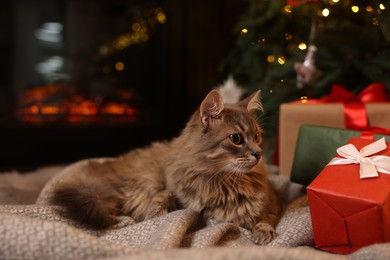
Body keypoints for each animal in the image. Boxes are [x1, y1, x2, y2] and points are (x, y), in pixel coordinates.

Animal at [47, 88, 282, 245]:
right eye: (236, 138)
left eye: (257, 136)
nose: (259, 154)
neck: (225, 181)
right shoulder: (183, 203)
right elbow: (162, 203)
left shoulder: (271, 204)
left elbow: (265, 219)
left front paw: (264, 233)